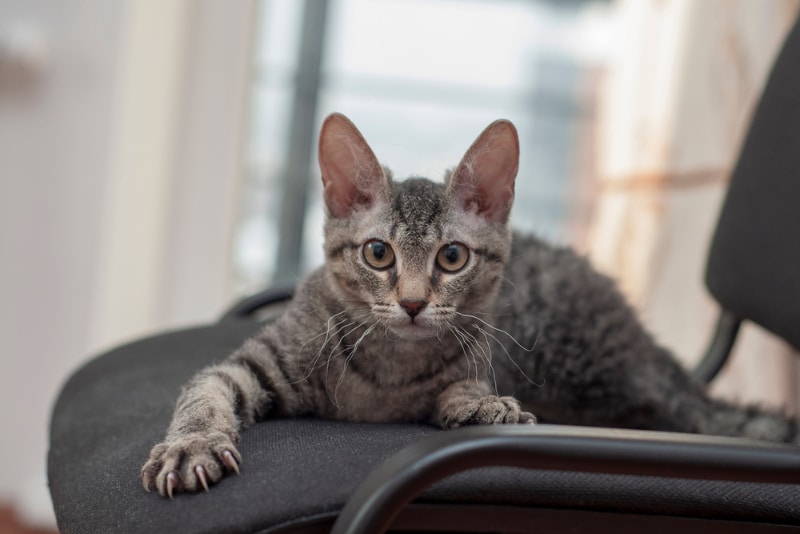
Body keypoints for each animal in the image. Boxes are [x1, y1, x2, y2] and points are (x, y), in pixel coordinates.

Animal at [141, 113, 796, 502]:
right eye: (378, 253)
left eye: (452, 258)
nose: (411, 302)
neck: (386, 377)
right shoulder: (248, 363)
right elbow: (204, 393)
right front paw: (191, 445)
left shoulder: (485, 357)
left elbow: (472, 385)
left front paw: (481, 406)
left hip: (604, 374)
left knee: (693, 412)